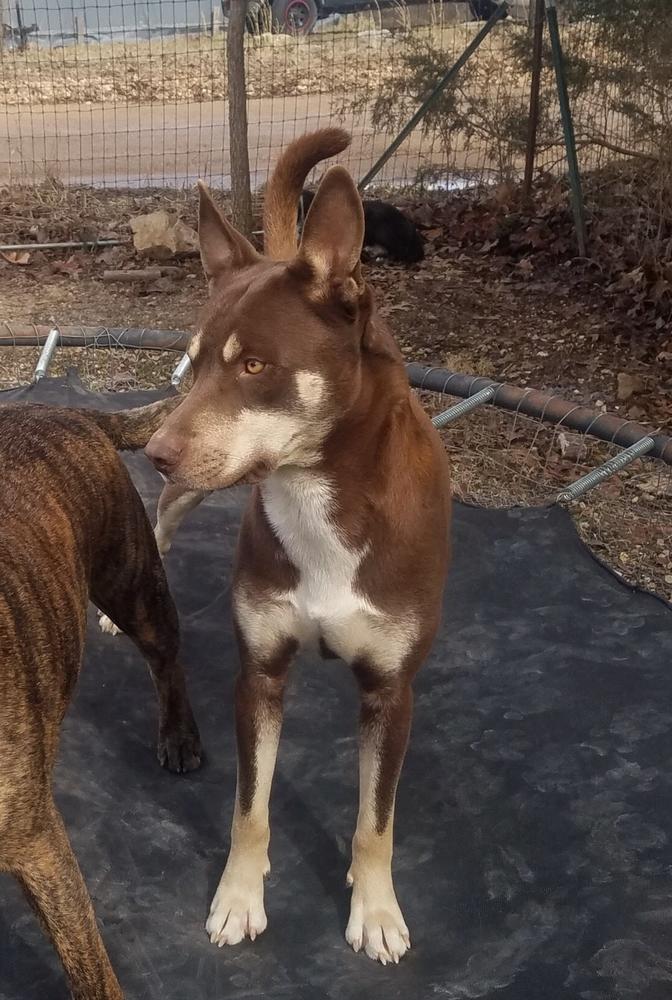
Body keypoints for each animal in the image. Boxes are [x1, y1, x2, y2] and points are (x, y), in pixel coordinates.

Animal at [0, 398, 200, 1000]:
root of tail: (54, 405)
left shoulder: (38, 844)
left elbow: (86, 962)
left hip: (134, 586)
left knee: (167, 659)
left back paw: (178, 735)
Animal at [146, 129, 452, 964]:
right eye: (193, 362)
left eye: (254, 366)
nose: (155, 451)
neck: (318, 497)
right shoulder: (260, 675)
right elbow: (249, 808)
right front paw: (238, 898)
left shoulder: (391, 694)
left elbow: (375, 822)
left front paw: (375, 909)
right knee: (161, 519)